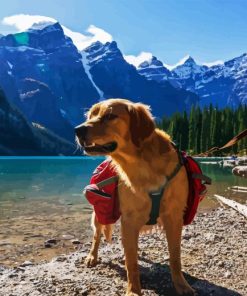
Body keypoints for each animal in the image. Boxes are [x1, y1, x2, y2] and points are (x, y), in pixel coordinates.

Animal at [75, 99, 195, 296]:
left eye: (110, 116)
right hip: (100, 214)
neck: (142, 165)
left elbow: (175, 256)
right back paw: (92, 256)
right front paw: (133, 290)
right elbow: (131, 263)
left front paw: (181, 285)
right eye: (91, 115)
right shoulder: (129, 221)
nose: (77, 130)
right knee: (97, 236)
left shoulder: (174, 217)